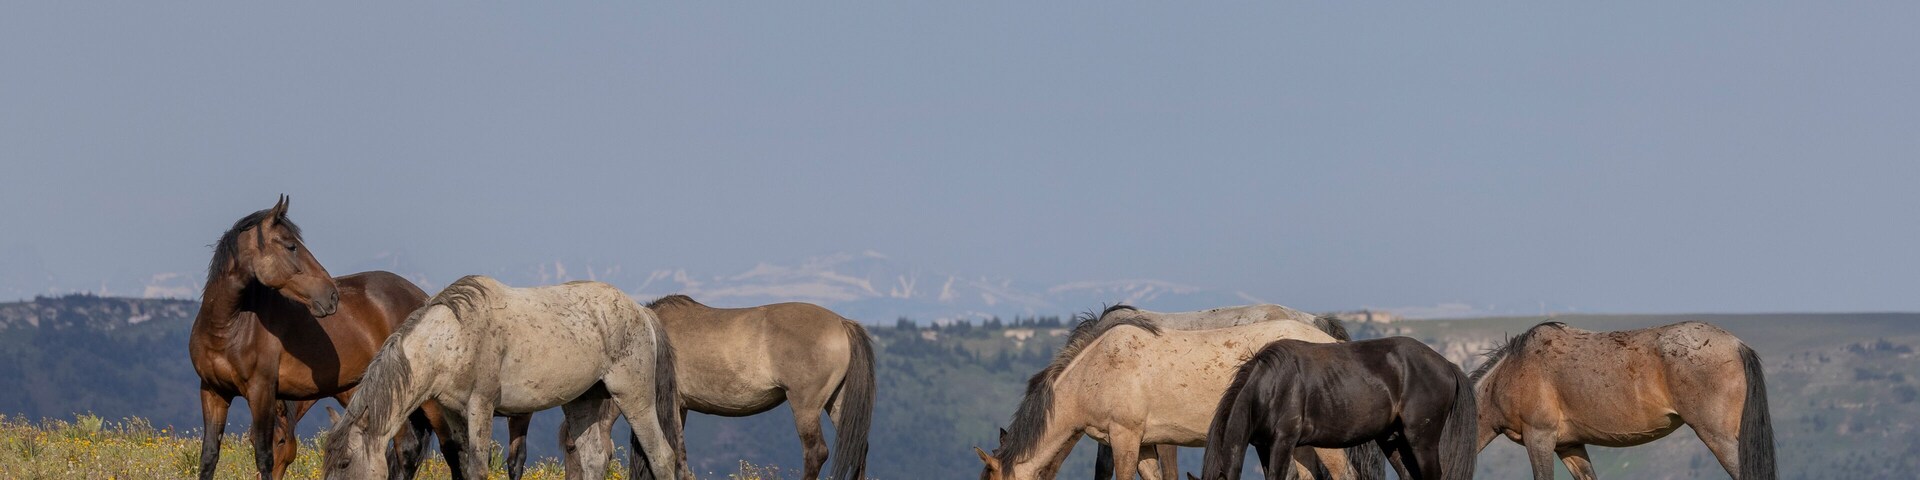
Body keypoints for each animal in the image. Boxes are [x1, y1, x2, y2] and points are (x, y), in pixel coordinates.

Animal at [189, 195, 453, 479]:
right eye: (291, 246)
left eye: (282, 441)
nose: (331, 295)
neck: (227, 328)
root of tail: (423, 299)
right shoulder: (212, 392)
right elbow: (209, 456)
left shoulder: (261, 392)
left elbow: (263, 456)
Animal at [320, 275, 687, 480]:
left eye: (345, 463)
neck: (453, 337)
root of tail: (642, 311)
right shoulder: (454, 415)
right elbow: (463, 466)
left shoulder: (481, 407)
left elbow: (478, 468)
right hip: (583, 401)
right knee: (594, 458)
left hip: (634, 397)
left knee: (662, 456)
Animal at [1193, 337, 1475, 480]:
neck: (1268, 387)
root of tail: (1447, 365)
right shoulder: (1264, 446)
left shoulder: (1283, 442)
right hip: (1394, 441)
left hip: (1421, 440)